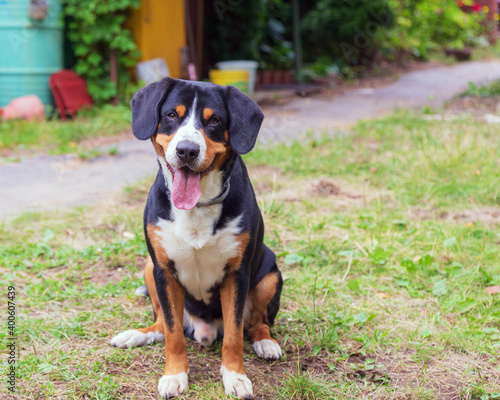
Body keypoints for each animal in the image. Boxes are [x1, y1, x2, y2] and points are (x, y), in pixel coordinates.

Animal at [110, 79, 282, 400]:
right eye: (171, 115)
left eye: (214, 120)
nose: (187, 150)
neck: (199, 205)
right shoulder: (163, 271)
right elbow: (173, 332)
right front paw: (174, 375)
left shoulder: (237, 274)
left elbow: (234, 334)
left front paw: (235, 376)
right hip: (148, 269)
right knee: (161, 324)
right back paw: (136, 335)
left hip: (271, 274)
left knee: (258, 323)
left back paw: (265, 342)